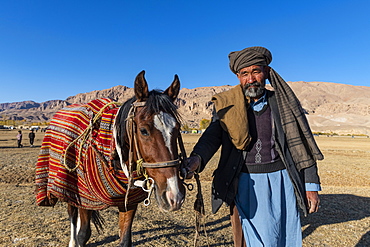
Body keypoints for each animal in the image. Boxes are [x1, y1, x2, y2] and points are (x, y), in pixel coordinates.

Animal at [35, 70, 188, 247]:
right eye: (143, 131)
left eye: (177, 129)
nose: (174, 196)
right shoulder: (83, 198)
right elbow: (83, 234)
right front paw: (78, 238)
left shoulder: (128, 203)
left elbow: (125, 239)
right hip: (67, 187)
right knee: (72, 213)